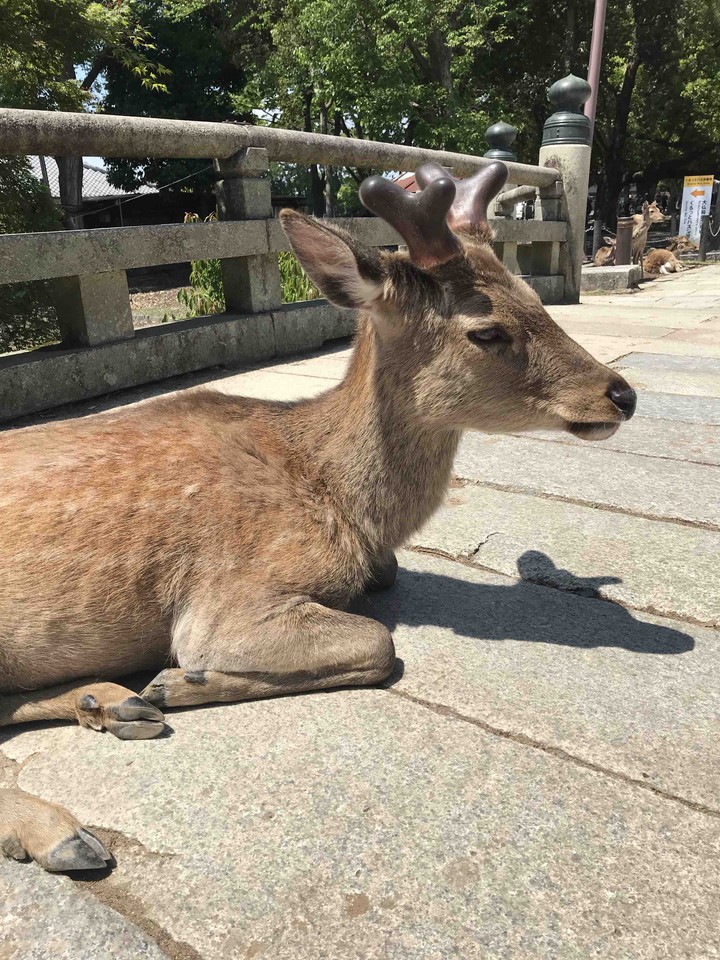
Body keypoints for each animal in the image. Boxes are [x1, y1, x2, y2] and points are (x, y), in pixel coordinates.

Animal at [0, 161, 637, 874]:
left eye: (533, 294)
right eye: (488, 329)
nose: (622, 394)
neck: (340, 500)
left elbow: (385, 591)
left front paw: (160, 689)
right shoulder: (227, 599)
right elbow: (380, 644)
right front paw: (180, 678)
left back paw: (112, 703)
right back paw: (63, 828)